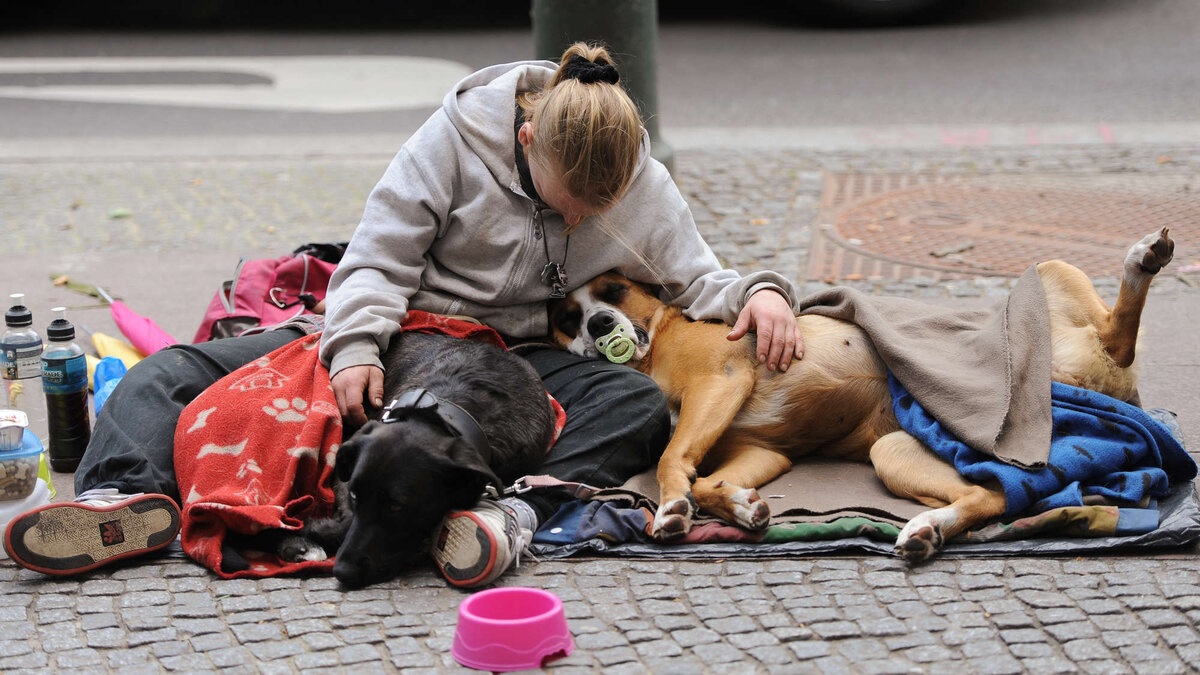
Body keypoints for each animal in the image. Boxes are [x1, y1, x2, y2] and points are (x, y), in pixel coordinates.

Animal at [226, 331, 554, 583]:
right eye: (356, 496)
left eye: (398, 506)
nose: (342, 571)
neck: (449, 412)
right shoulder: (345, 477)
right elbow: (345, 519)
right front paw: (299, 537)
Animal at [549, 228, 1176, 559]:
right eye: (564, 318)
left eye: (614, 290)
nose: (598, 324)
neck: (658, 341)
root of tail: (1113, 386)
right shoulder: (760, 451)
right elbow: (706, 477)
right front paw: (739, 505)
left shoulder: (720, 381)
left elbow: (671, 457)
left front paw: (672, 504)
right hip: (894, 451)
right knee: (993, 497)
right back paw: (929, 529)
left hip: (1051, 275)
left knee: (1118, 335)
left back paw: (1143, 261)